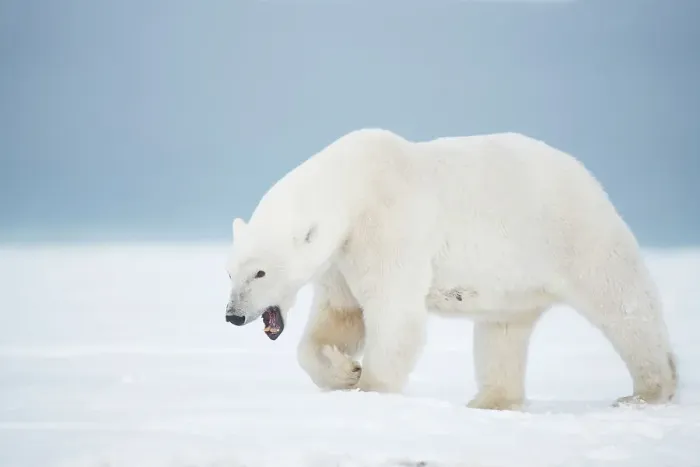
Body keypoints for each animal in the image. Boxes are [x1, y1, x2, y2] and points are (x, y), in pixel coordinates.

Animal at [224, 128, 678, 410]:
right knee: (502, 331)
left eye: (259, 273)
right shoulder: (341, 258)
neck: (355, 185)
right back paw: (490, 401)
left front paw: (369, 388)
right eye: (230, 273)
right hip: (513, 281)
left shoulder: (389, 226)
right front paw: (345, 371)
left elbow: (394, 315)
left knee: (623, 302)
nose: (233, 315)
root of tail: (585, 174)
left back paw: (649, 391)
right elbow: (339, 317)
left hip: (573, 232)